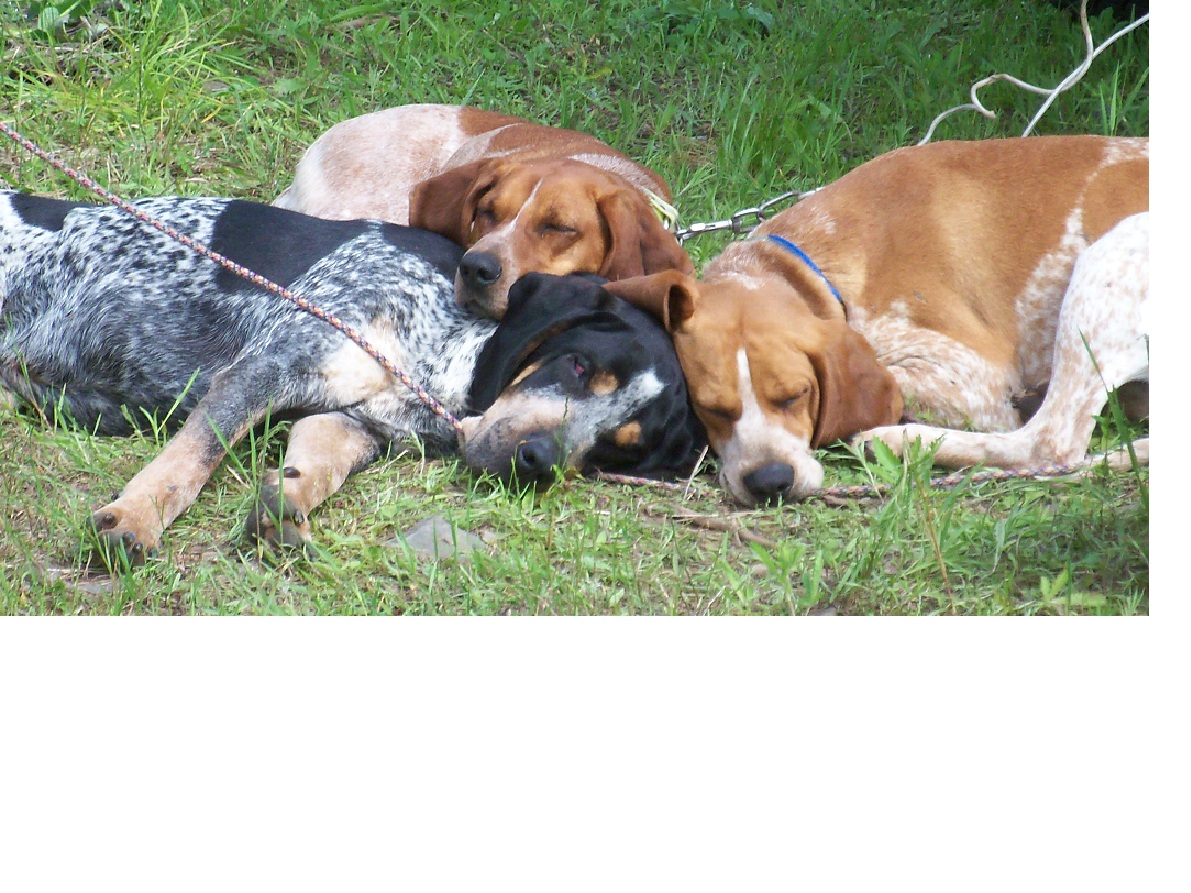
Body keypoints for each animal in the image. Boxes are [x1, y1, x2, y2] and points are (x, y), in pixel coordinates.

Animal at [0, 191, 704, 558]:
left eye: (616, 447)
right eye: (580, 365)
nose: (538, 462)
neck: (442, 350)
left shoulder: (349, 421)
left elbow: (313, 467)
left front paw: (284, 504)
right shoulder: (267, 367)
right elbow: (190, 460)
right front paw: (136, 518)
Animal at [605, 135, 1149, 506]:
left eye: (798, 396)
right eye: (710, 409)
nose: (769, 482)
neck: (818, 260)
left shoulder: (976, 381)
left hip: (1107, 262)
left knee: (1050, 441)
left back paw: (893, 438)